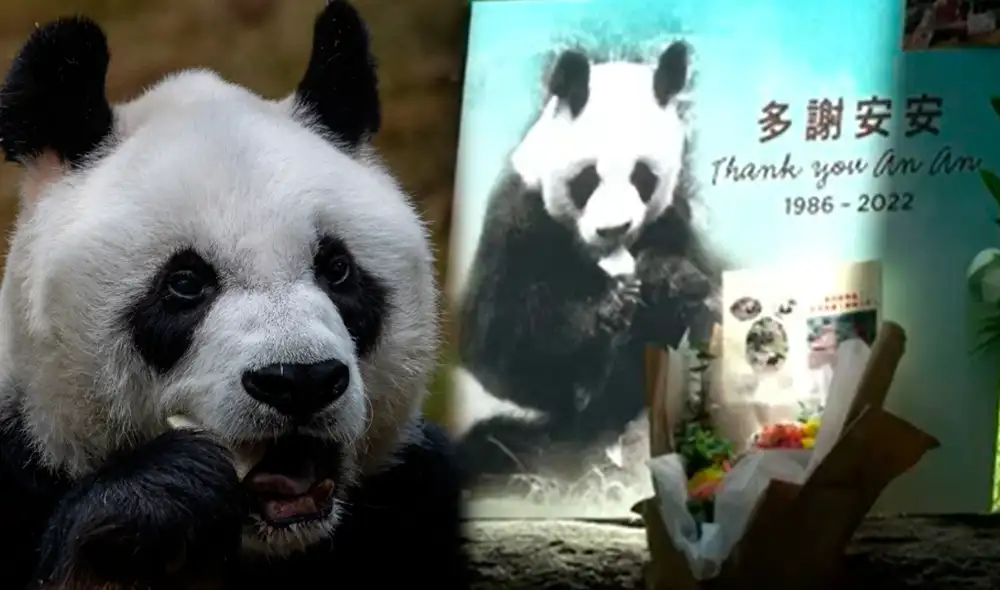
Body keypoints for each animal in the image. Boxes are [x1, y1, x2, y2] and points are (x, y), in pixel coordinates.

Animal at [454, 41, 721, 487]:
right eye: (587, 179)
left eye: (642, 177)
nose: (613, 229)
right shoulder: (516, 223)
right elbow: (502, 335)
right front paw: (610, 306)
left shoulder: (672, 222)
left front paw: (665, 282)